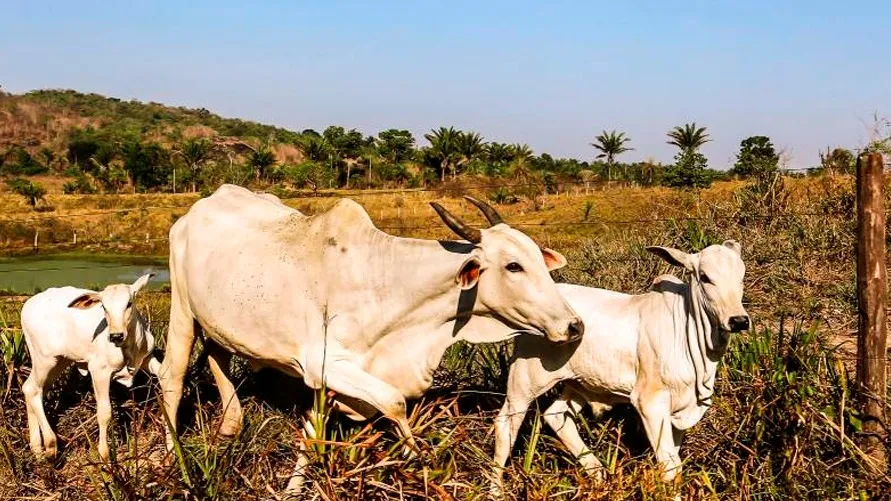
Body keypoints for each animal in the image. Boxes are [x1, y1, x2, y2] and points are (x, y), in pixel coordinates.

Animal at [20, 274, 159, 460]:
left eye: (129, 303)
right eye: (104, 307)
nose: (116, 336)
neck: (129, 348)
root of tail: (28, 305)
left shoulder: (147, 359)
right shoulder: (99, 371)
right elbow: (105, 413)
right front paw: (105, 456)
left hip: (58, 362)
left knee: (33, 389)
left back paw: (37, 448)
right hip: (44, 360)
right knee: (32, 390)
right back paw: (49, 444)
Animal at [157, 183, 580, 488]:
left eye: (538, 258)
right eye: (513, 266)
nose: (574, 325)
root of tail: (201, 206)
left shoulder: (330, 379)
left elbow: (314, 431)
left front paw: (294, 487)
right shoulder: (323, 364)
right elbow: (394, 402)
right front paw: (414, 459)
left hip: (219, 322)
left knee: (217, 357)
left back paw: (230, 426)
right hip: (182, 311)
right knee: (172, 378)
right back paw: (172, 460)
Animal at [492, 240, 748, 490]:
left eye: (741, 275)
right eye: (704, 277)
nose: (738, 320)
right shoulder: (649, 402)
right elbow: (670, 466)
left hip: (577, 384)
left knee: (555, 415)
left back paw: (598, 476)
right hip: (524, 381)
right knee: (505, 425)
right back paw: (496, 490)